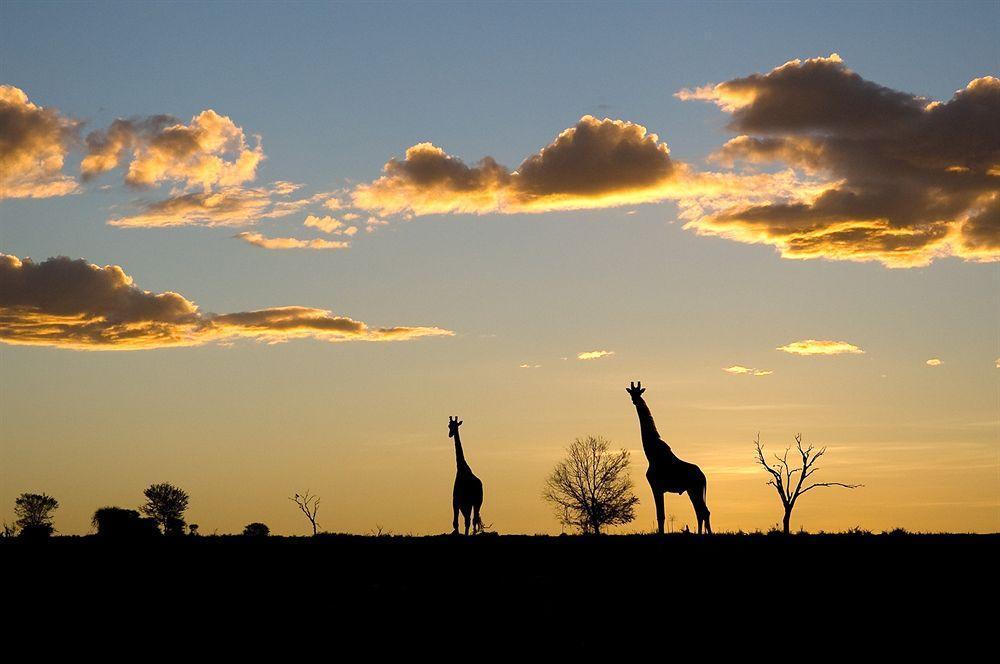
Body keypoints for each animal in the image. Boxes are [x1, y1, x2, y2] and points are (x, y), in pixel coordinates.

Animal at [624, 384, 712, 536]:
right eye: (631, 393)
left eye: (639, 393)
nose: (635, 401)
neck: (652, 454)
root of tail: (703, 476)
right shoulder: (658, 487)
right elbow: (661, 515)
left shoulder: (656, 486)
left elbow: (660, 515)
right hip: (692, 490)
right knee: (700, 512)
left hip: (695, 488)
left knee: (704, 512)